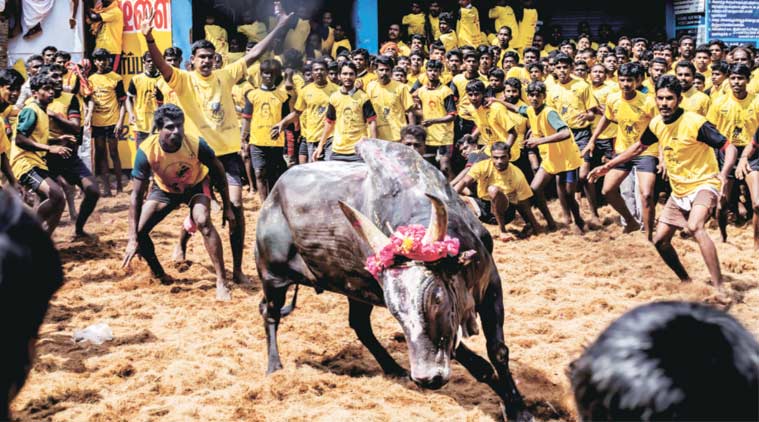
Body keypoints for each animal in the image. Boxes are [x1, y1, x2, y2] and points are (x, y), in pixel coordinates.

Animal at [256, 140, 536, 420]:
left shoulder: (491, 287)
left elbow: (498, 351)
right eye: (394, 311)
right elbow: (480, 366)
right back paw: (274, 366)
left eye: (436, 298)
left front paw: (519, 408)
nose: (426, 378)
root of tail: (272, 196)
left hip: (355, 290)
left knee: (359, 325)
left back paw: (392, 367)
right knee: (270, 314)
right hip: (273, 278)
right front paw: (509, 403)